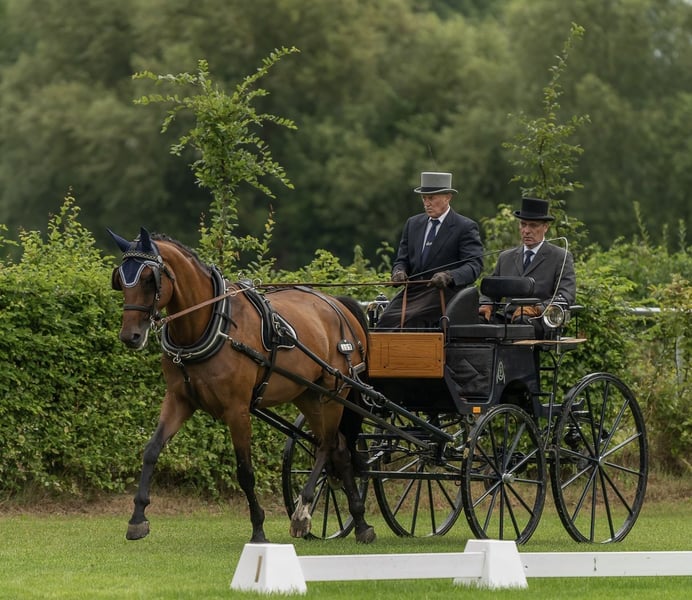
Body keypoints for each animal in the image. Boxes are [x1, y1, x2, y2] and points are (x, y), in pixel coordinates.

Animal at [109, 227, 375, 544]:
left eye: (150, 279)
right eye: (120, 279)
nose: (131, 336)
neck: (209, 324)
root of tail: (338, 305)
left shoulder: (237, 409)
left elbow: (245, 471)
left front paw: (258, 529)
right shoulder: (179, 399)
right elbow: (151, 450)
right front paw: (138, 518)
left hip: (335, 392)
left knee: (326, 445)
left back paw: (303, 512)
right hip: (309, 395)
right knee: (340, 449)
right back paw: (360, 523)